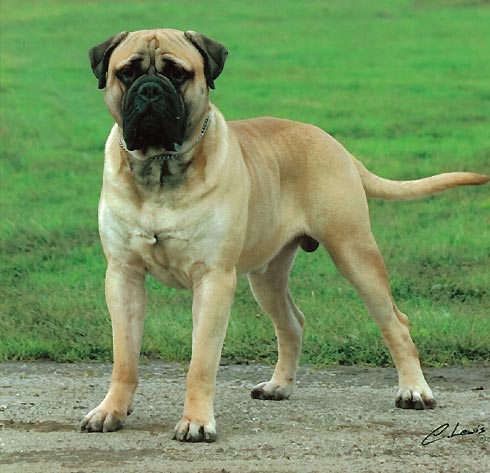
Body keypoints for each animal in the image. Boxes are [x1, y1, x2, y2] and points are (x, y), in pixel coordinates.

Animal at [82, 30, 488, 442]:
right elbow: (124, 357)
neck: (160, 169)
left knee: (396, 323)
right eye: (127, 72)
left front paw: (196, 421)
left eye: (178, 73)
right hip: (267, 276)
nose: (150, 90)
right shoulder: (123, 276)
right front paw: (111, 410)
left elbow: (202, 362)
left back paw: (415, 391)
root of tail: (335, 144)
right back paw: (279, 385)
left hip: (355, 254)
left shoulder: (214, 280)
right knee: (292, 323)